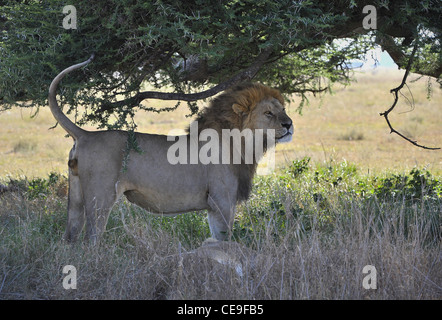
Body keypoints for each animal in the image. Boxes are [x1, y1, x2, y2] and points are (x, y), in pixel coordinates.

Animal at [49, 57, 294, 242]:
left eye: (283, 109)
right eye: (269, 113)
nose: (289, 124)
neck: (244, 143)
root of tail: (86, 134)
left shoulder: (215, 206)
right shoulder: (222, 201)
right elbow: (225, 240)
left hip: (76, 195)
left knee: (70, 237)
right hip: (100, 197)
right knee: (91, 238)